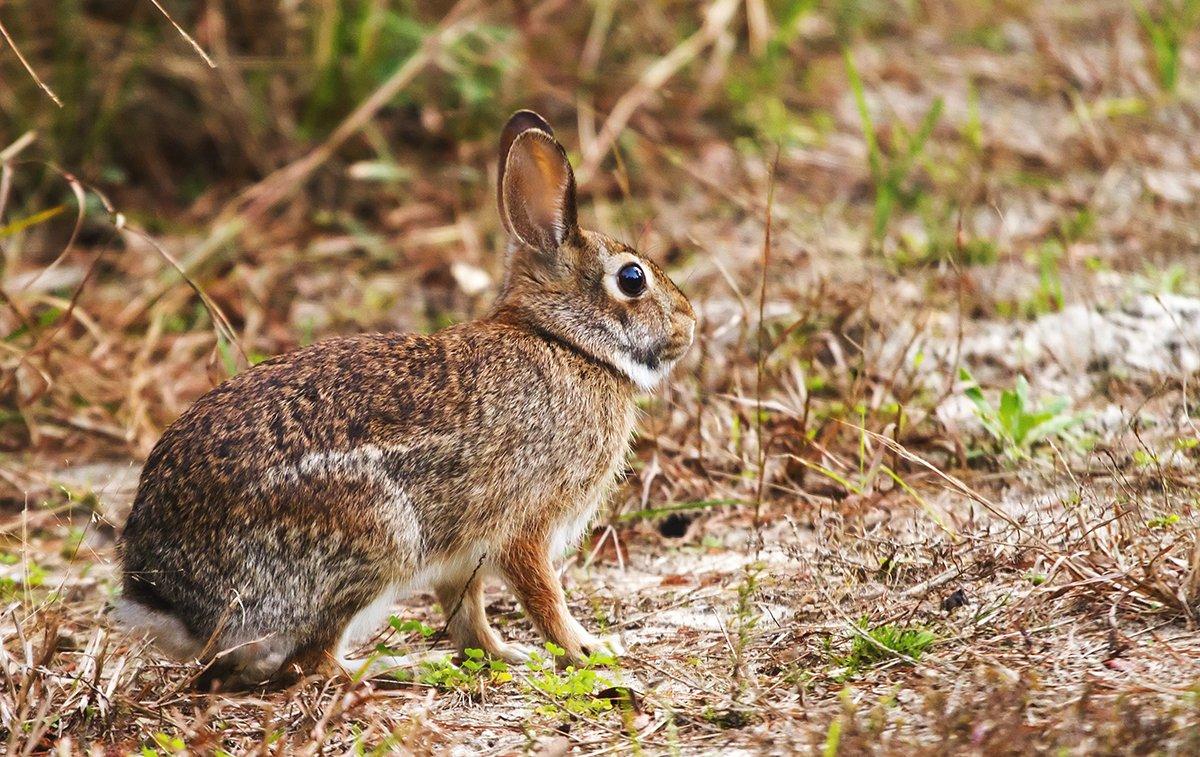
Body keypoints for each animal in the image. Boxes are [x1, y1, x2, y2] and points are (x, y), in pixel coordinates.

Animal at [114, 109, 696, 691]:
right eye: (632, 278)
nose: (690, 325)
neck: (566, 341)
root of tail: (167, 599)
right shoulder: (525, 523)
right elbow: (543, 596)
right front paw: (588, 650)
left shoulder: (462, 555)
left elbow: (467, 612)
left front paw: (505, 655)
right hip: (377, 540)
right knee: (312, 662)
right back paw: (393, 666)